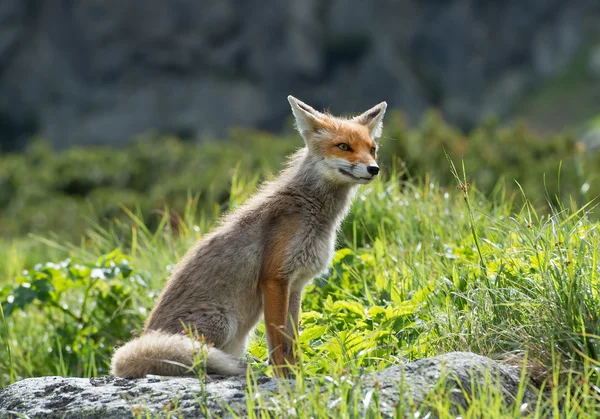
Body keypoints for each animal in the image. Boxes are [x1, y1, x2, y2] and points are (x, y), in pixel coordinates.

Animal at [109, 95, 386, 378]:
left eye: (372, 149)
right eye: (343, 146)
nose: (373, 169)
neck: (311, 212)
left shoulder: (296, 284)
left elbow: (293, 340)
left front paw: (299, 375)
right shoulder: (274, 279)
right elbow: (278, 342)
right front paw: (283, 377)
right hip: (223, 323)